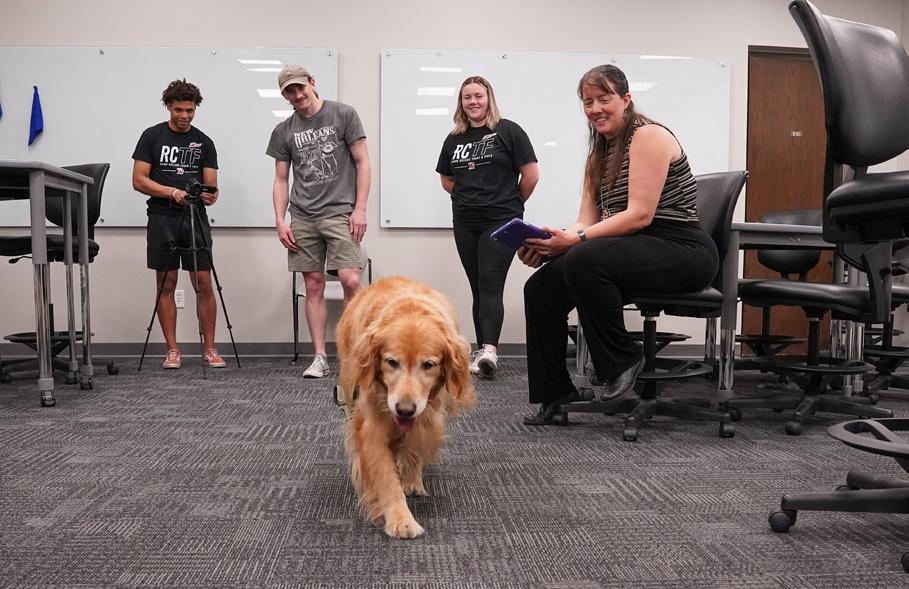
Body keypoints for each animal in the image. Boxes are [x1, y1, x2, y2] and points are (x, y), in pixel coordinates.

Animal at [337, 276, 476, 539]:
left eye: (428, 365)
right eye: (391, 362)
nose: (404, 409)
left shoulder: (427, 414)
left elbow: (413, 448)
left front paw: (411, 478)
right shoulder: (371, 426)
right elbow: (385, 475)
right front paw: (401, 519)